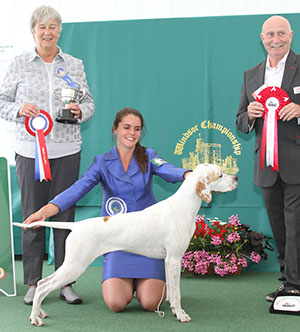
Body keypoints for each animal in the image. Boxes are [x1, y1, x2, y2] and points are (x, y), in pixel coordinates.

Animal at [14, 165, 238, 326]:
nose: (236, 178)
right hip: (74, 266)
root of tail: (76, 225)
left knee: (42, 283)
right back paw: (35, 318)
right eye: (220, 174)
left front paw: (175, 311)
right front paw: (182, 315)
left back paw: (39, 312)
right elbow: (177, 293)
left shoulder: (169, 261)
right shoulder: (175, 259)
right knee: (43, 285)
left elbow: (172, 292)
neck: (183, 206)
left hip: (71, 265)